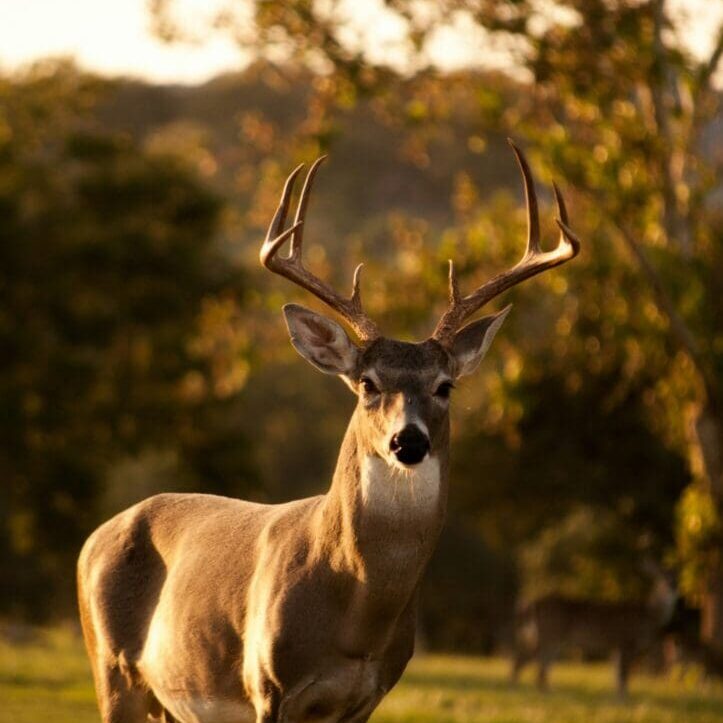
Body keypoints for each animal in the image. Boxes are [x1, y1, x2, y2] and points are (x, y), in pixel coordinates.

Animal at [77, 141, 580, 723]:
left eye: (446, 385)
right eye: (367, 382)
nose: (408, 441)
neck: (355, 615)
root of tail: (92, 539)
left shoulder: (368, 696)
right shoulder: (266, 686)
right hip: (111, 668)